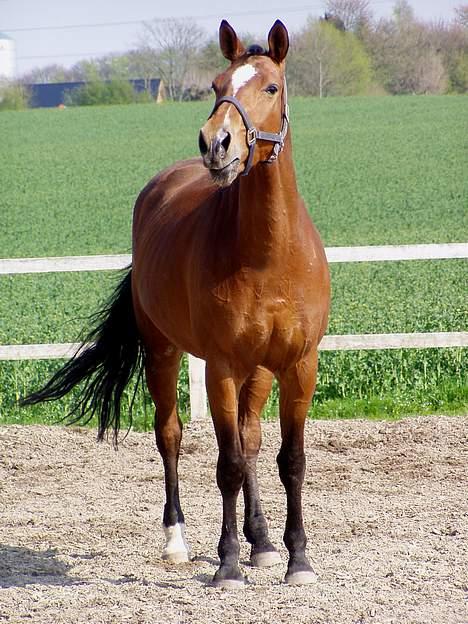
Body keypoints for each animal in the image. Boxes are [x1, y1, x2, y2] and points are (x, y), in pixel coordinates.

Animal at [22, 18, 330, 584]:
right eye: (216, 85)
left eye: (271, 87)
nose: (217, 143)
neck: (269, 256)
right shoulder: (221, 367)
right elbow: (227, 465)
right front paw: (227, 564)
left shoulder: (299, 364)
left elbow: (289, 461)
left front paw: (296, 559)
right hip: (164, 353)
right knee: (170, 435)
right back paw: (178, 540)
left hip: (257, 370)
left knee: (251, 439)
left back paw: (261, 542)